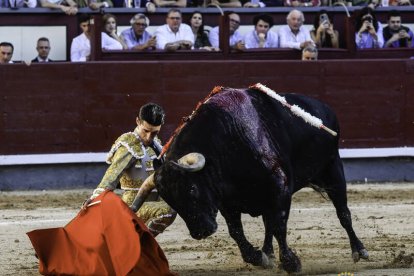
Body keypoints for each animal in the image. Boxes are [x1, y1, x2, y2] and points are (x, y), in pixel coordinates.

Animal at [154, 87, 368, 272]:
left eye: (191, 188)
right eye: (170, 201)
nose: (200, 232)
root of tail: (325, 108)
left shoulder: (280, 189)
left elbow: (279, 225)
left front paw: (290, 263)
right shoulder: (227, 202)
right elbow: (237, 231)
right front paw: (259, 257)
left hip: (333, 170)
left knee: (343, 213)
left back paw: (359, 250)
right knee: (267, 224)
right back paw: (268, 253)